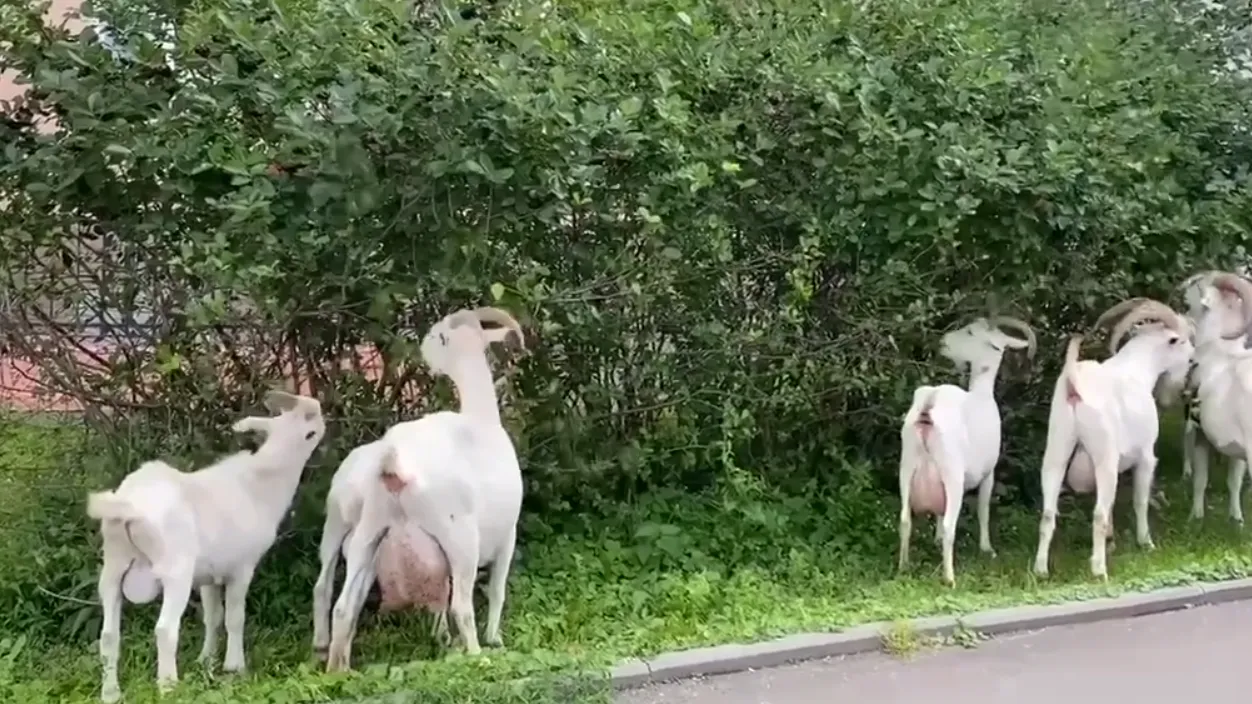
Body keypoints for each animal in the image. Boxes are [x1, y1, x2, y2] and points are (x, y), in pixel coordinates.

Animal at [88, 390, 328, 696]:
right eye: (312, 430)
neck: (259, 484)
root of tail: (126, 507)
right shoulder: (241, 568)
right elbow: (234, 617)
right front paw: (234, 667)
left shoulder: (208, 575)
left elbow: (212, 616)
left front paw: (206, 662)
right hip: (175, 571)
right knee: (165, 629)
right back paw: (169, 688)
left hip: (112, 568)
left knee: (108, 635)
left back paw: (111, 693)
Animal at [318, 305, 528, 666]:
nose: (423, 348)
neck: (480, 418)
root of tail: (395, 465)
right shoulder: (507, 534)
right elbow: (497, 591)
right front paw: (495, 639)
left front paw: (444, 639)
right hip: (459, 537)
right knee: (461, 605)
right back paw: (477, 655)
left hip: (365, 533)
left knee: (341, 603)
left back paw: (336, 665)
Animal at [901, 315, 1036, 583]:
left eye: (971, 332)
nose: (943, 342)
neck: (981, 393)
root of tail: (929, 405)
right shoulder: (989, 472)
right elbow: (984, 509)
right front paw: (987, 548)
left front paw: (935, 541)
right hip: (952, 472)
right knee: (949, 525)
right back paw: (949, 578)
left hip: (906, 466)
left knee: (904, 521)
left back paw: (903, 567)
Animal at [1031, 295, 1216, 576]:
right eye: (1182, 341)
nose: (1194, 361)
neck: (1138, 369)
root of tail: (1074, 384)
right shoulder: (1146, 456)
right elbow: (1139, 501)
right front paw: (1146, 543)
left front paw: (1112, 540)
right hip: (1104, 458)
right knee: (1097, 513)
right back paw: (1099, 569)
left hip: (1057, 451)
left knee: (1049, 512)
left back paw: (1040, 570)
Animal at [1176, 268, 1252, 521]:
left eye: (1199, 283)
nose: (1180, 287)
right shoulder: (1237, 450)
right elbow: (1234, 482)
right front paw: (1237, 519)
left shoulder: (1202, 434)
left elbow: (1201, 480)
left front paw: (1195, 516)